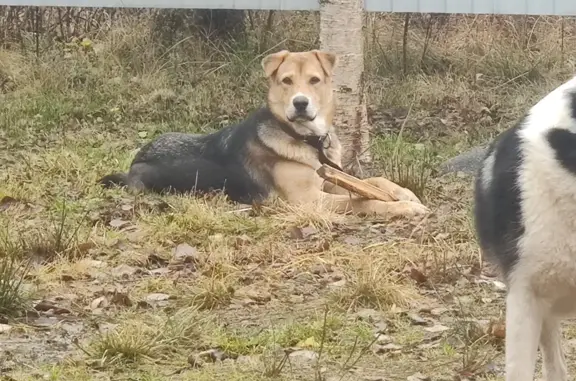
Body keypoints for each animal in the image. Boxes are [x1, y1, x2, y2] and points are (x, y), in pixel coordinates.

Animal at [99, 49, 428, 220]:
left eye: (314, 80)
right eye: (286, 81)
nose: (300, 103)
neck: (306, 139)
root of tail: (133, 163)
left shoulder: (329, 178)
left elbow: (375, 181)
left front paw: (405, 193)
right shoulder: (308, 200)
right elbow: (362, 202)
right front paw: (404, 207)